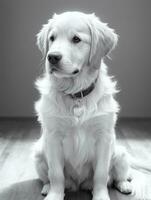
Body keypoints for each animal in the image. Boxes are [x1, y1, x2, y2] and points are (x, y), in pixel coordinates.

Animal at [33, 11, 133, 199]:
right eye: (52, 38)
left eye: (76, 39)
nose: (52, 57)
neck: (76, 94)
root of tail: (78, 185)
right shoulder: (53, 137)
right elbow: (56, 173)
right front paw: (54, 194)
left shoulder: (103, 137)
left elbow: (101, 174)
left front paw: (101, 195)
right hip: (39, 152)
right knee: (47, 177)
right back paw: (47, 188)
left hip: (120, 154)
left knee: (117, 176)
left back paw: (124, 185)